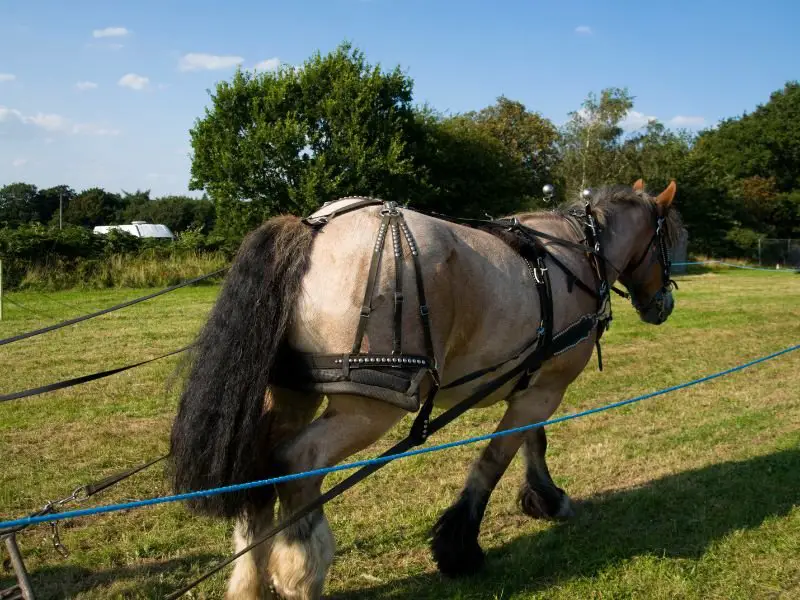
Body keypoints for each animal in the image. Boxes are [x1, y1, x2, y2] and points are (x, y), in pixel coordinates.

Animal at [169, 179, 680, 600]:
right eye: (668, 241)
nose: (665, 305)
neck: (576, 256)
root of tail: (314, 229)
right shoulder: (545, 389)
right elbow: (494, 460)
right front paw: (460, 546)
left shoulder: (533, 380)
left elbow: (532, 443)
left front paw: (546, 498)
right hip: (371, 406)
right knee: (299, 463)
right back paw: (302, 575)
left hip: (294, 392)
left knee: (258, 469)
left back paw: (250, 585)